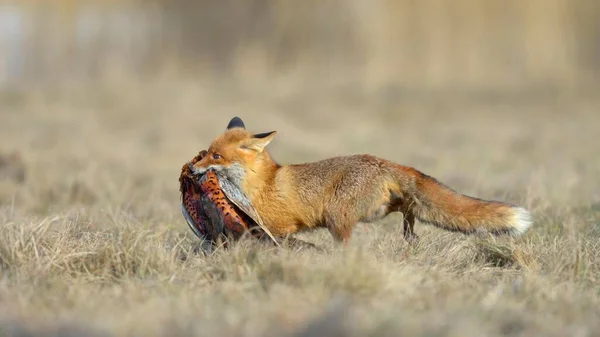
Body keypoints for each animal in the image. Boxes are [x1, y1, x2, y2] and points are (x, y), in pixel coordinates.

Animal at [190, 117, 532, 243]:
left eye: (215, 157)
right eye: (206, 153)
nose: (193, 170)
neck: (261, 184)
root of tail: (381, 160)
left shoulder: (280, 227)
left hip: (337, 217)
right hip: (375, 209)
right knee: (407, 206)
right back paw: (410, 234)